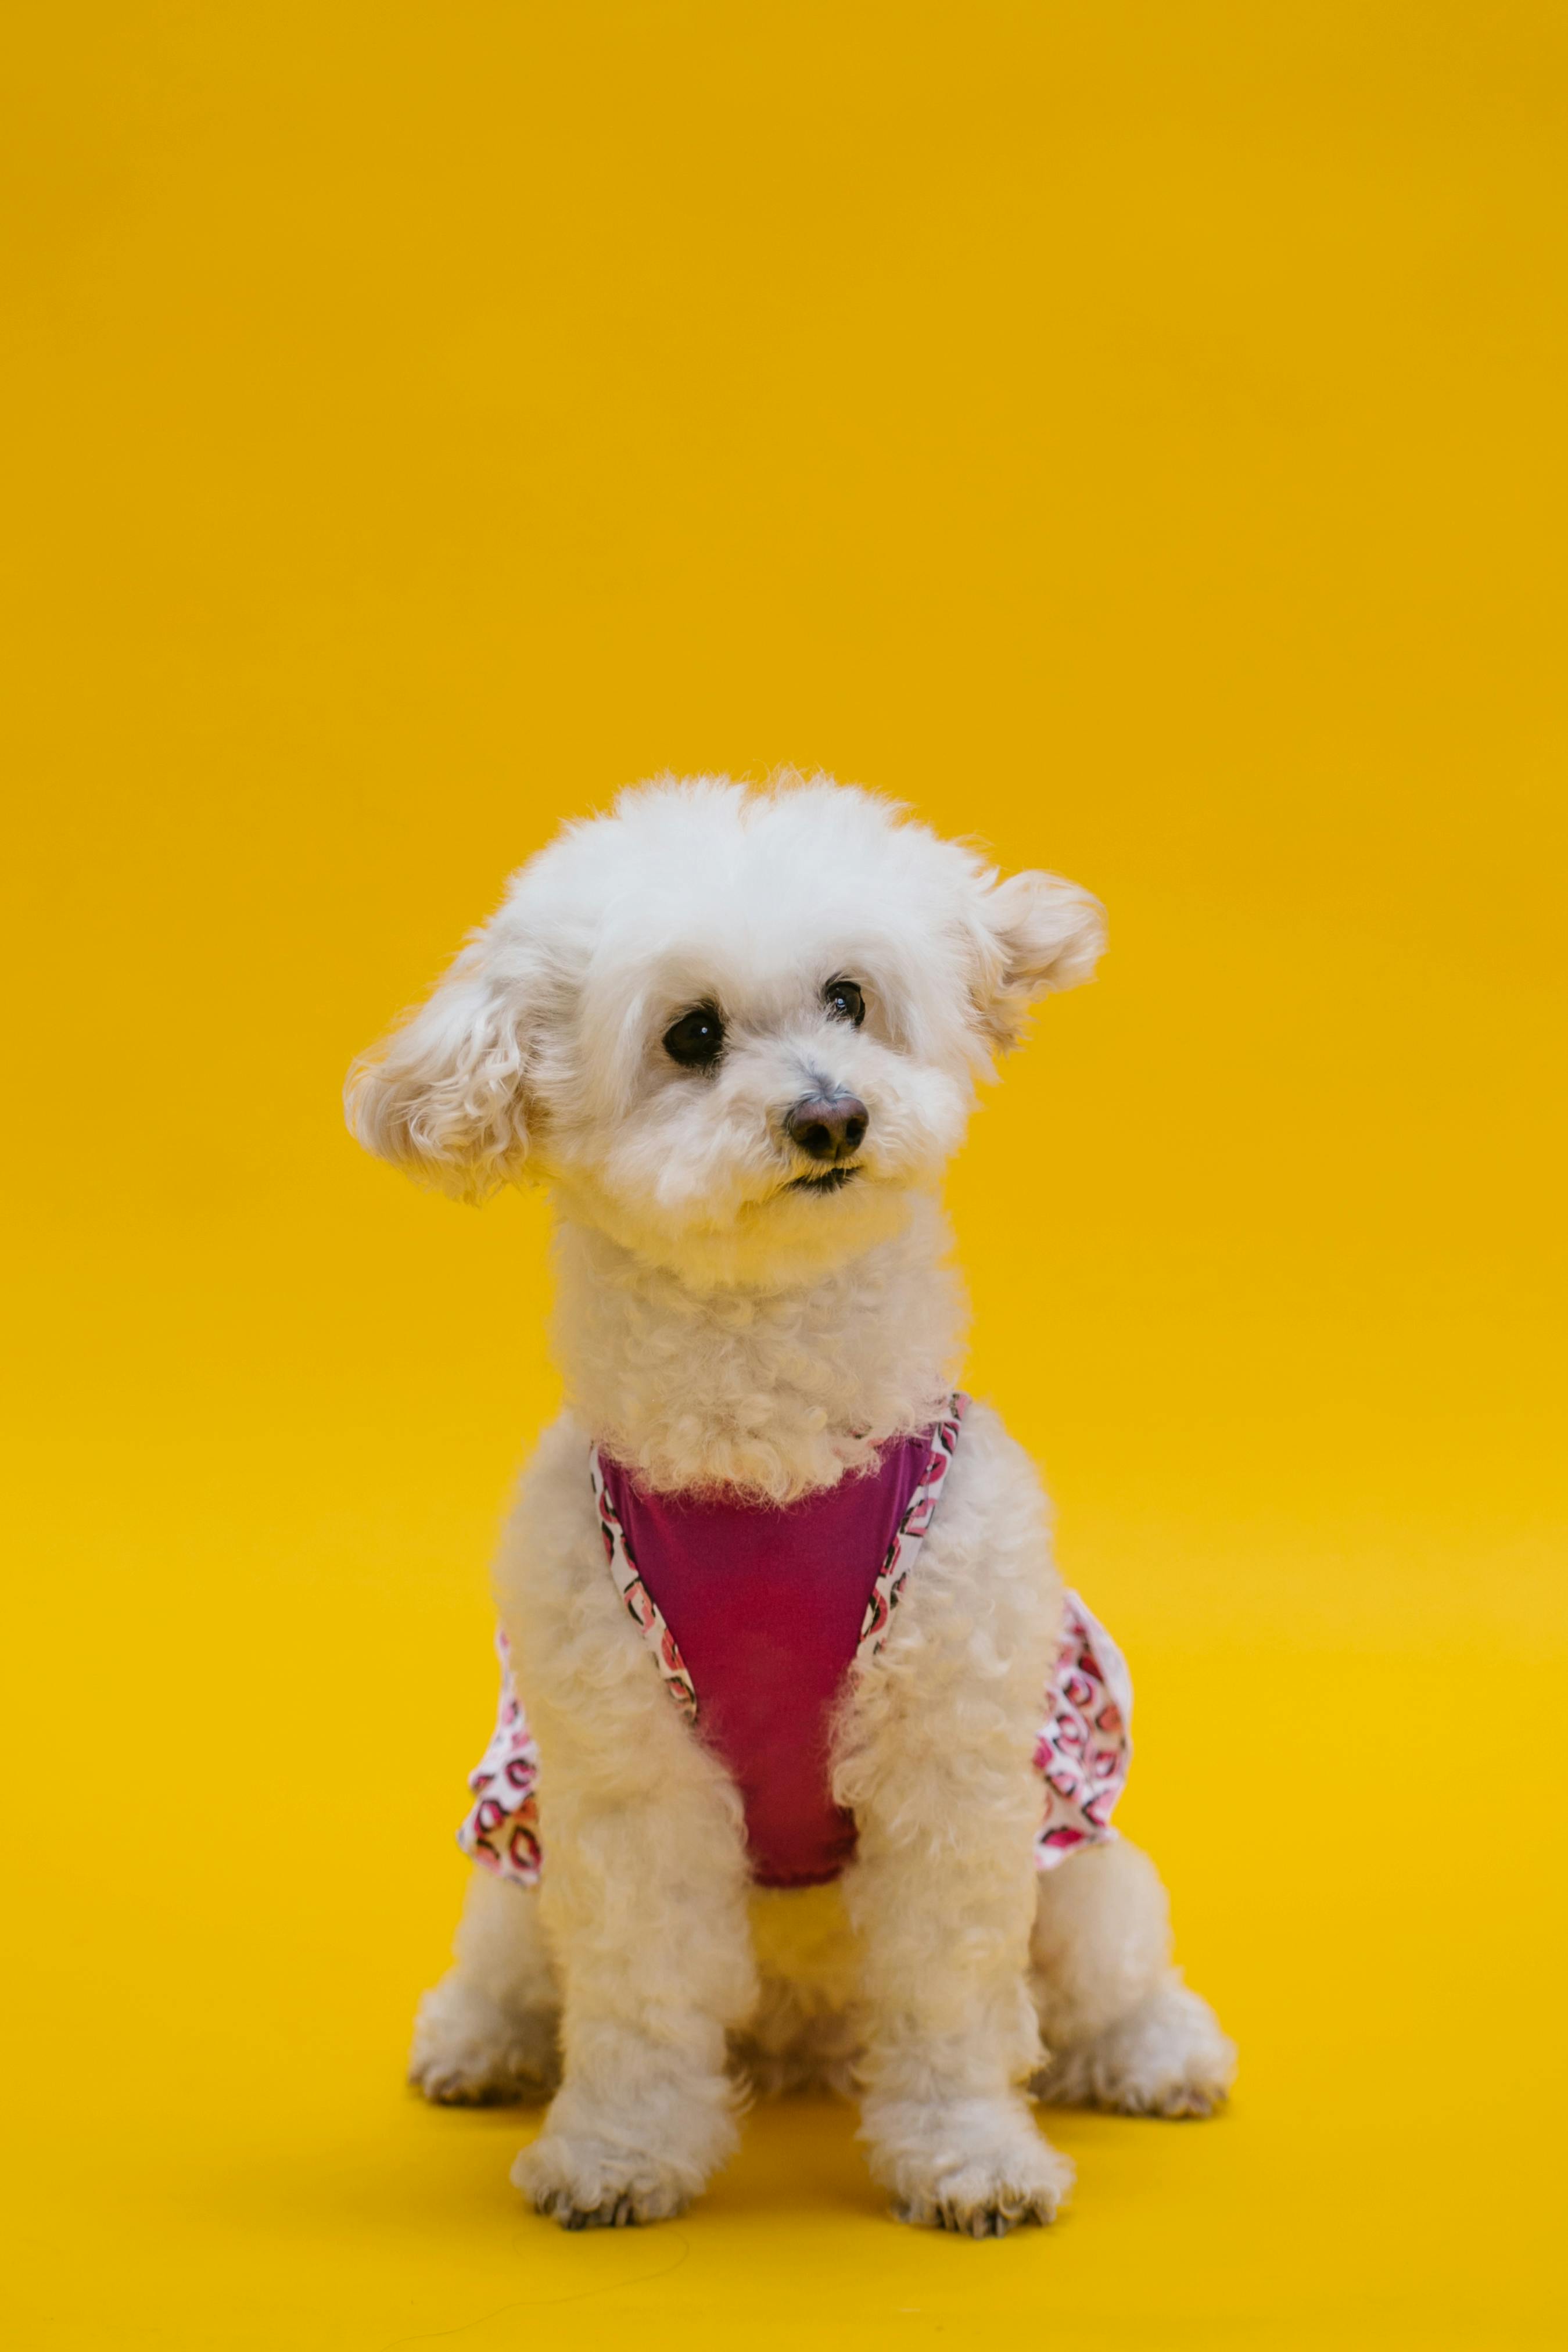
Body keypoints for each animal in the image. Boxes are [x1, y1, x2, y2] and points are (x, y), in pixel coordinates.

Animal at [345, 780, 1241, 2229]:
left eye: (847, 997)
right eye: (690, 1034)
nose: (830, 1117)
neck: (769, 1450)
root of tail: (804, 2027)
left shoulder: (950, 1761)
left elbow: (950, 1995)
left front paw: (968, 2157)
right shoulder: (624, 1774)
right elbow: (637, 1993)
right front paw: (616, 2152)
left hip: (1078, 1853)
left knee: (1107, 1959)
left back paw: (1154, 2050)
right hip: (518, 1855)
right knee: (516, 1954)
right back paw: (483, 2036)